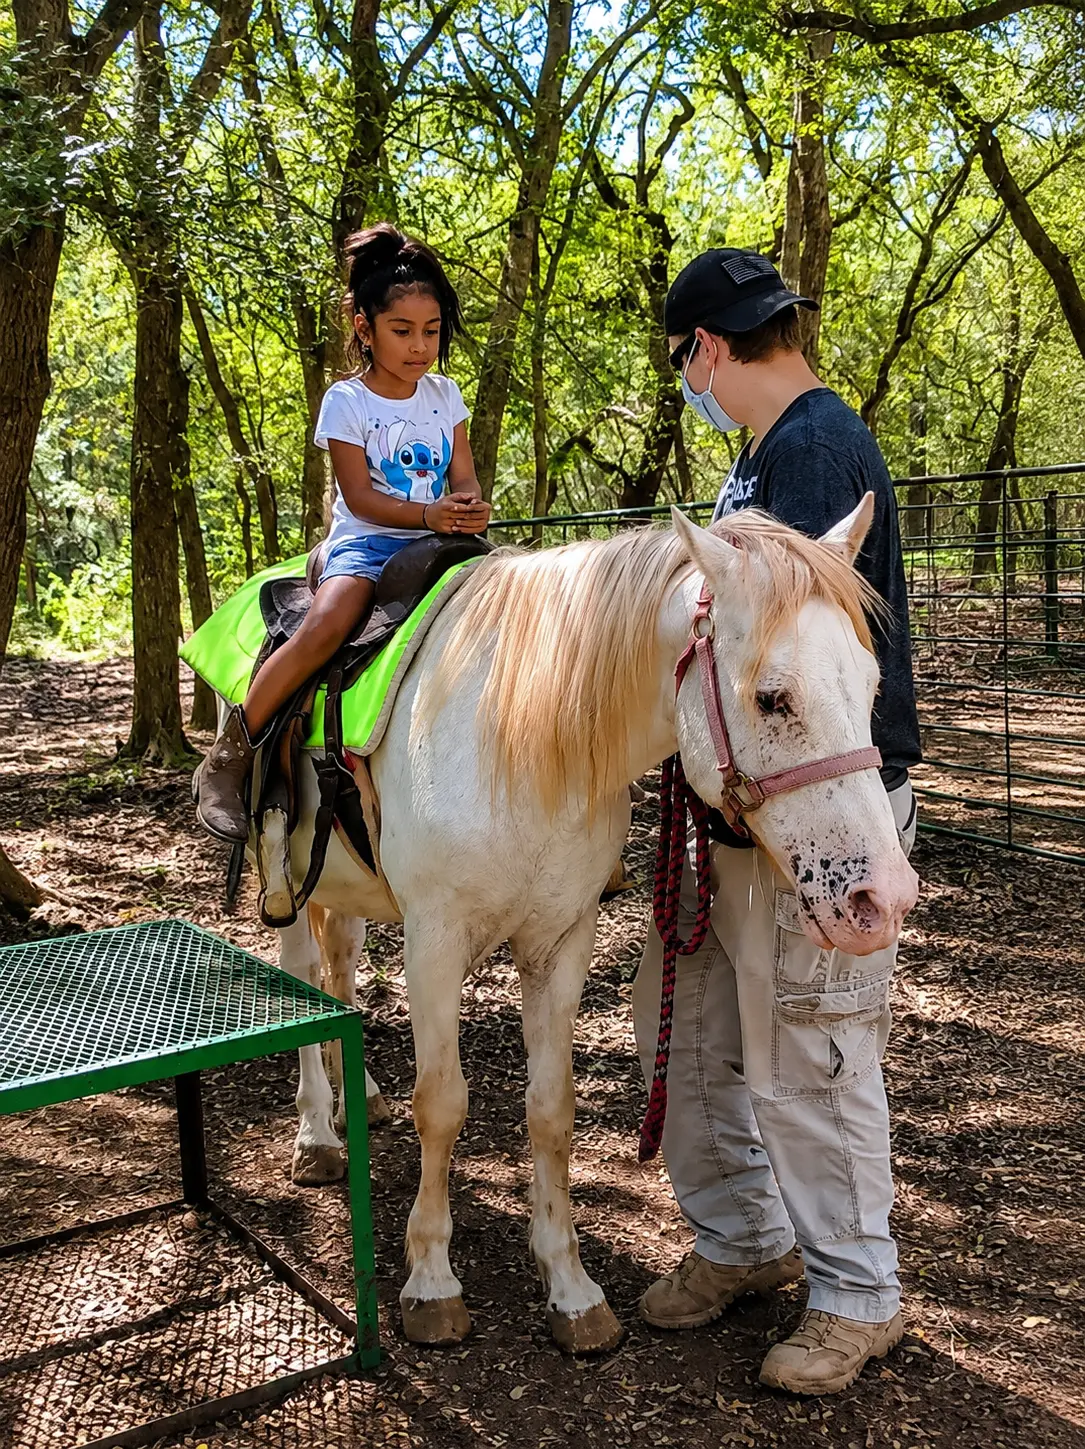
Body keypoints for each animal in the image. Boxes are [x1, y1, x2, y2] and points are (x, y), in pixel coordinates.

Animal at [230, 501, 918, 1354]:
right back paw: (318, 1137)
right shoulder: (434, 942)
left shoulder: (562, 942)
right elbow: (442, 1103)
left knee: (340, 971)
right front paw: (430, 1280)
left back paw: (361, 1096)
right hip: (286, 883)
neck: (514, 735)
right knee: (302, 975)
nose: (882, 899)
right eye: (771, 697)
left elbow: (552, 1109)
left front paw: (569, 1285)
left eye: (869, 685)